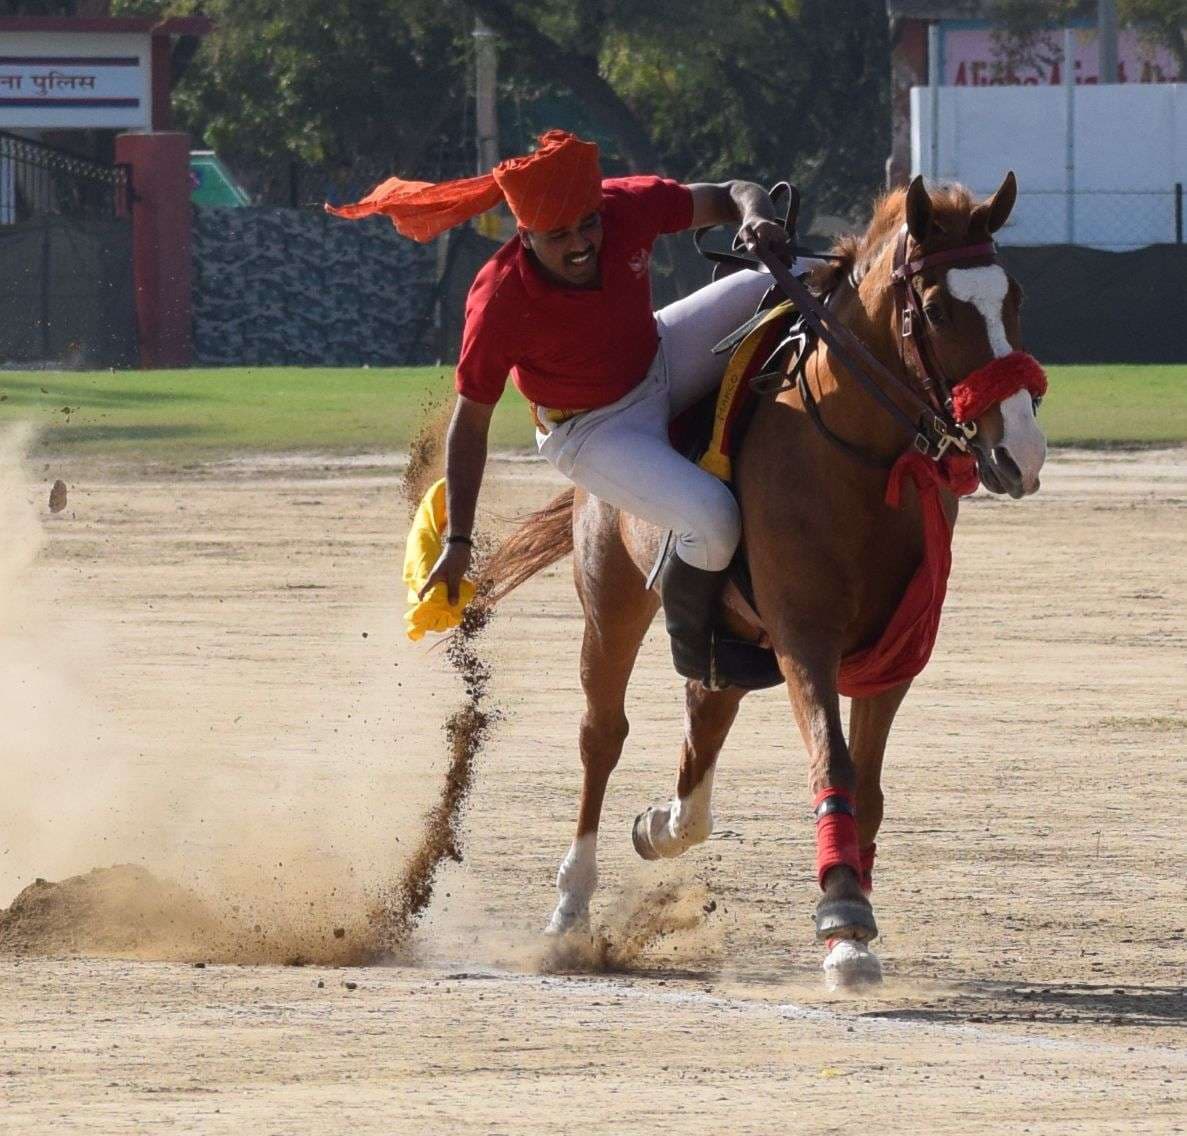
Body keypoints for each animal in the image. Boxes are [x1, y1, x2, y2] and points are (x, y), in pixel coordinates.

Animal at [481, 175, 1049, 982]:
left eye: (1014, 296)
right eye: (938, 310)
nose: (1019, 453)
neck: (852, 453)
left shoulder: (894, 651)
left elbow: (867, 786)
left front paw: (851, 914)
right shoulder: (803, 635)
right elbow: (832, 764)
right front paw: (843, 919)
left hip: (727, 632)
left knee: (705, 705)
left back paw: (665, 824)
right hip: (610, 592)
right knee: (602, 734)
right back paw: (571, 905)